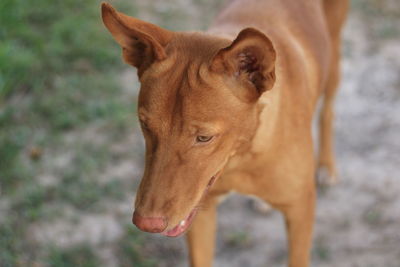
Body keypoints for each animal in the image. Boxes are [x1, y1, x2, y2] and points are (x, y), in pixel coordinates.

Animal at [101, 1, 348, 266]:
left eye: (204, 137)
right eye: (145, 125)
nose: (146, 223)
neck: (239, 158)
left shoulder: (300, 211)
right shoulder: (199, 212)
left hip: (333, 56)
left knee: (328, 110)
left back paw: (326, 166)